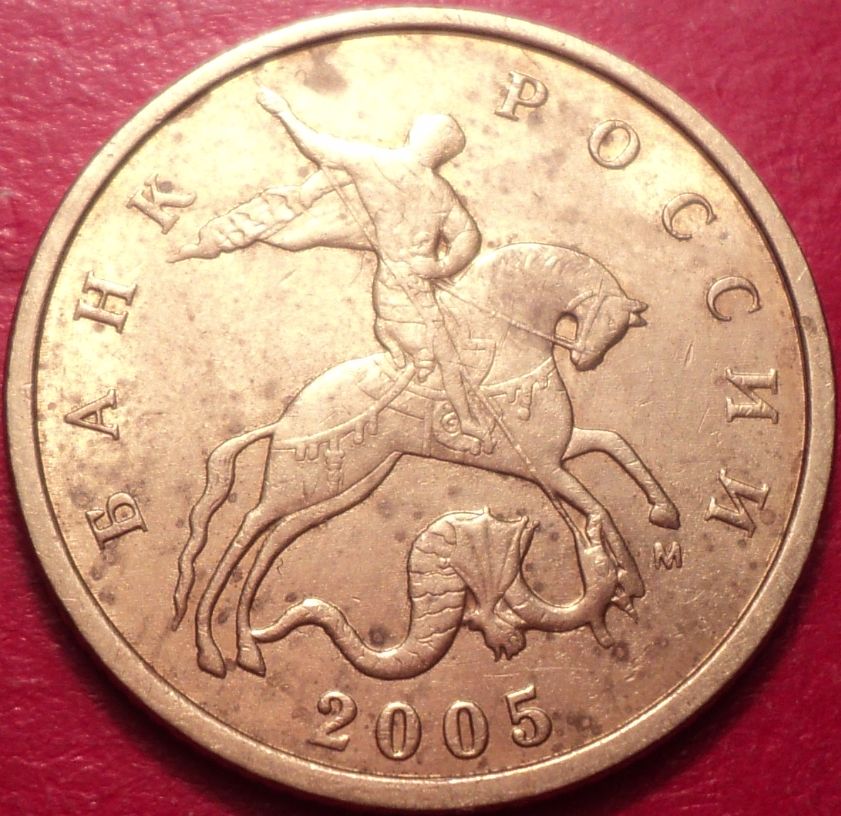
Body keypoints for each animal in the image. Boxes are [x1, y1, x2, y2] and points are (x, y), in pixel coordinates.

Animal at [172, 242, 680, 678]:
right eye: (607, 320)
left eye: (617, 330)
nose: (587, 361)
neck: (510, 346)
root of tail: (285, 419)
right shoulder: (545, 467)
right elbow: (599, 506)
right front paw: (628, 577)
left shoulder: (555, 452)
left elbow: (615, 445)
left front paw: (661, 515)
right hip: (300, 483)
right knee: (245, 530)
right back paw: (210, 648)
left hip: (344, 487)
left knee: (271, 542)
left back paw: (246, 648)